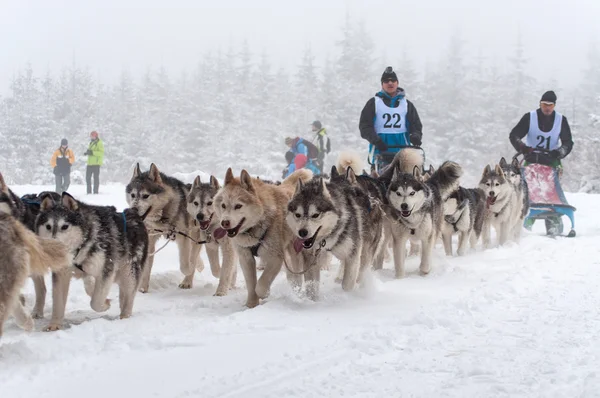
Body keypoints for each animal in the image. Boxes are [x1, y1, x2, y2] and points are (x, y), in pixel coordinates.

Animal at [36, 193, 149, 330]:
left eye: (65, 226)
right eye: (48, 226)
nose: (52, 246)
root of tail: (135, 215)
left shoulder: (107, 270)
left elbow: (96, 302)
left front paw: (105, 304)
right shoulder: (61, 274)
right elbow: (58, 302)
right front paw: (54, 325)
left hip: (129, 273)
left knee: (128, 296)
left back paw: (124, 316)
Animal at [126, 164, 204, 292]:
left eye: (145, 196)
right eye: (133, 195)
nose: (133, 210)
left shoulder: (184, 238)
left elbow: (185, 265)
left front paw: (189, 270)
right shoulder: (150, 239)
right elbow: (146, 267)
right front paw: (142, 289)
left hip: (195, 236)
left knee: (193, 254)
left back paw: (187, 281)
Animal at [213, 168, 312, 308]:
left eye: (238, 206)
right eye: (223, 205)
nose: (224, 222)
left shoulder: (275, 258)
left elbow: (261, 285)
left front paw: (264, 294)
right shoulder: (246, 258)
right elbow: (251, 285)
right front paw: (251, 304)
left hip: (294, 251)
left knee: (296, 274)